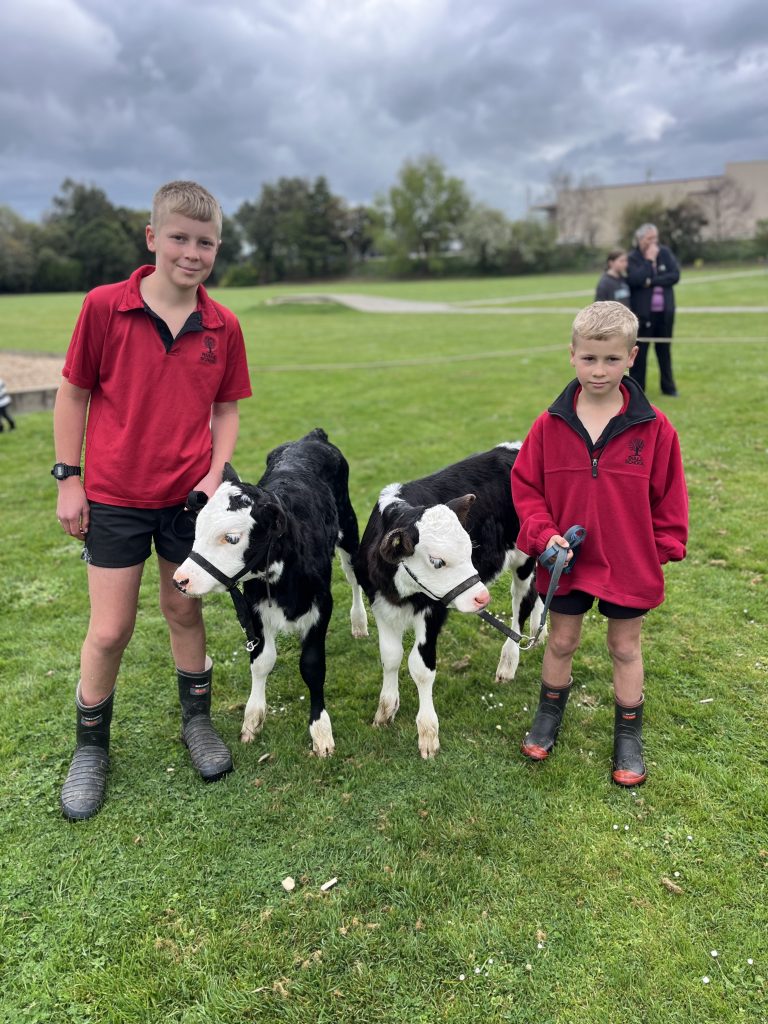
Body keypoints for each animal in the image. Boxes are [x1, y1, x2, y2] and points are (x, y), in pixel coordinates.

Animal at [173, 428, 367, 757]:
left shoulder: (321, 606)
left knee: (353, 576)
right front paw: (252, 720)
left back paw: (359, 622)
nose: (180, 579)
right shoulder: (254, 609)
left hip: (348, 528)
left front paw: (321, 731)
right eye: (196, 528)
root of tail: (311, 437)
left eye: (232, 538)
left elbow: (312, 666)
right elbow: (262, 661)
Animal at [353, 442, 543, 759]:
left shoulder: (432, 611)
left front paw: (428, 733)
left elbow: (420, 668)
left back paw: (509, 661)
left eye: (470, 548)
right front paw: (386, 710)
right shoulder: (380, 605)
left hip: (525, 558)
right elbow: (390, 657)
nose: (482, 597)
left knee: (521, 604)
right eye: (437, 561)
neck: (399, 590)